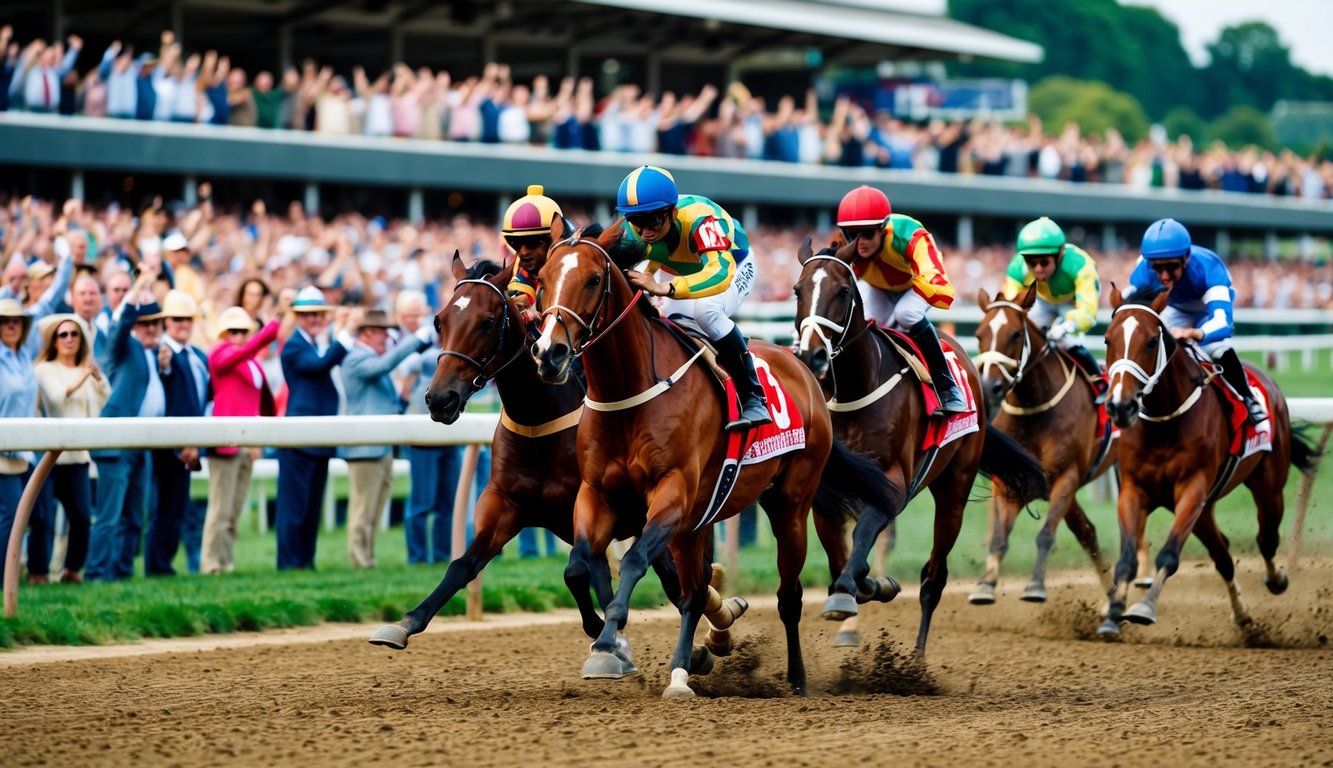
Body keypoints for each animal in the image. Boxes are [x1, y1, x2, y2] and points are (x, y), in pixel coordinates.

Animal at [365, 254, 682, 674]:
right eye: (439, 321)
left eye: (486, 321)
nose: (439, 399)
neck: (538, 421)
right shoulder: (506, 505)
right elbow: (461, 565)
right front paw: (405, 622)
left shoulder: (589, 509)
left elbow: (582, 574)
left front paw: (610, 641)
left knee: (673, 580)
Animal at [527, 220, 895, 693]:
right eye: (542, 280)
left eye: (592, 280)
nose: (548, 353)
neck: (628, 394)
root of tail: (805, 371)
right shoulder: (596, 493)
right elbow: (578, 566)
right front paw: (602, 638)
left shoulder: (672, 494)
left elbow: (632, 561)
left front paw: (609, 640)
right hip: (699, 520)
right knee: (694, 592)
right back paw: (681, 672)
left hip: (790, 503)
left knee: (788, 594)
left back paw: (796, 677)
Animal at [789, 240, 1050, 653]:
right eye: (798, 291)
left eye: (843, 292)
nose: (811, 354)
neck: (855, 388)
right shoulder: (831, 485)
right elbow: (839, 552)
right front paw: (862, 584)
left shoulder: (895, 481)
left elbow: (863, 537)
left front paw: (853, 587)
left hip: (954, 490)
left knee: (934, 577)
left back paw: (917, 657)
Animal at [970, 285, 1114, 602]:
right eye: (979, 334)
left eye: (1014, 334)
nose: (988, 387)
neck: (1034, 408)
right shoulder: (1009, 482)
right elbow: (999, 539)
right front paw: (985, 585)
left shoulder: (1067, 476)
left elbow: (1046, 534)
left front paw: (1035, 585)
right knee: (1088, 532)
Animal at [1093, 288, 1322, 634]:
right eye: (1107, 339)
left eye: (1151, 341)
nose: (1121, 406)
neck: (1163, 422)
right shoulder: (1134, 490)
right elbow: (1128, 559)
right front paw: (1112, 614)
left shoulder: (1193, 487)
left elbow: (1170, 555)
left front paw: (1144, 607)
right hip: (1205, 509)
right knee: (1222, 553)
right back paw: (1241, 613)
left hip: (1267, 486)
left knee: (1266, 538)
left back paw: (1276, 579)